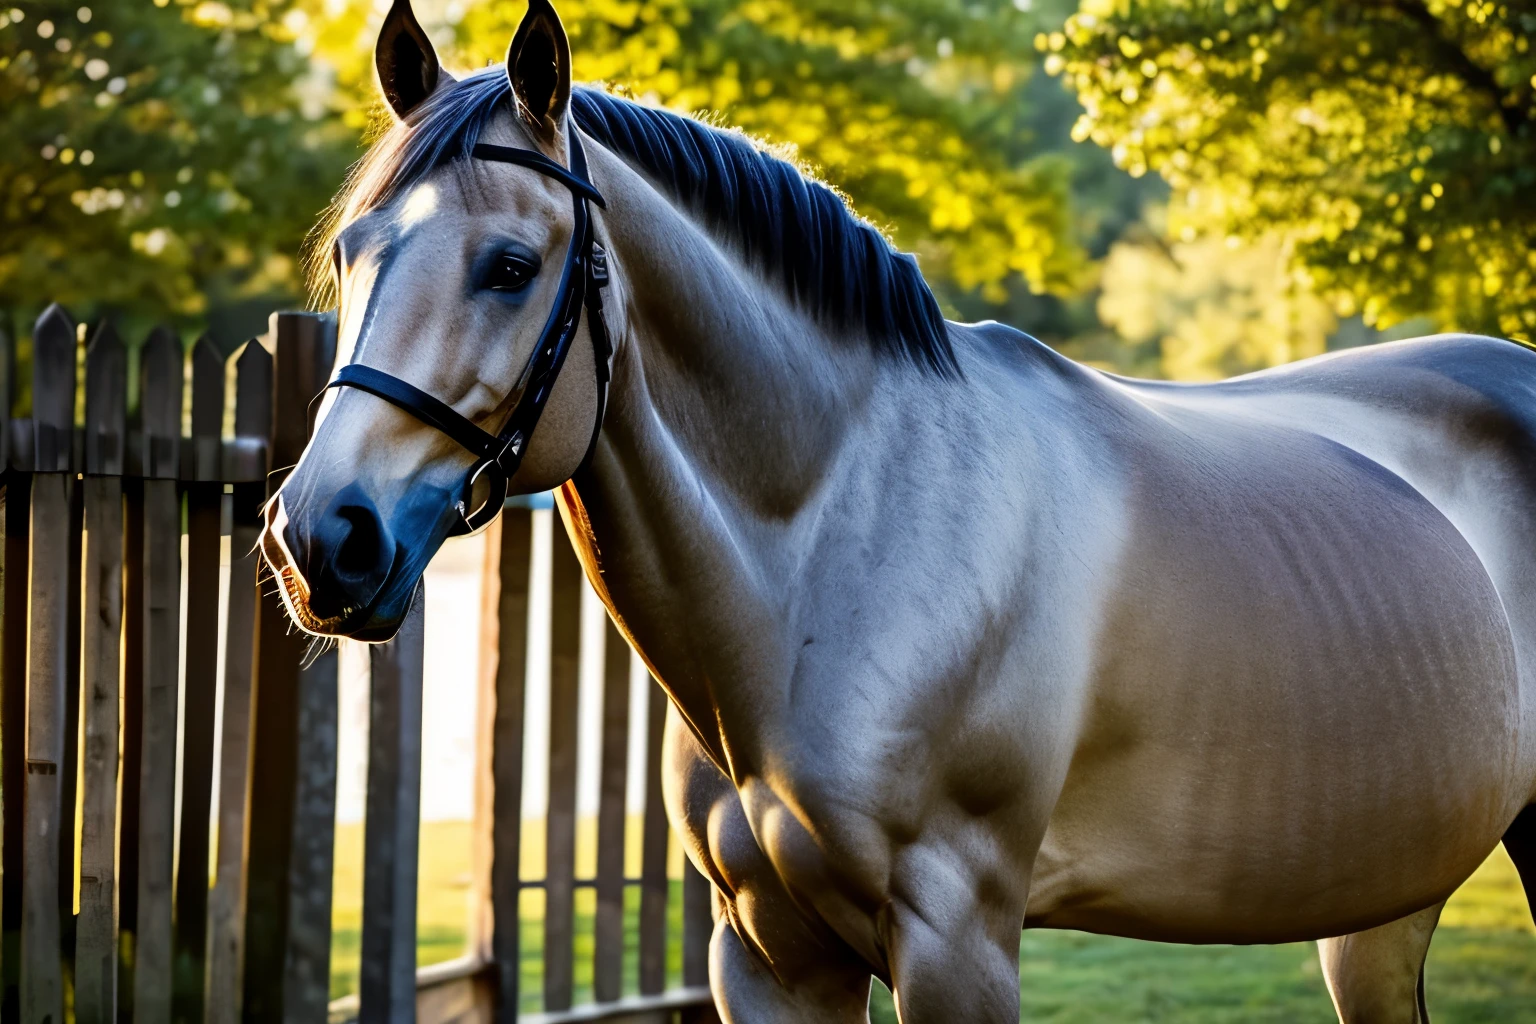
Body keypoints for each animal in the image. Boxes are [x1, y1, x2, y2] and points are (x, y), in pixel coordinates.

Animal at [264, 4, 1536, 1019]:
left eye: (511, 265)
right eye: (353, 249)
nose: (320, 538)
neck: (836, 541)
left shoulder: (957, 940)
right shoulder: (766, 955)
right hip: (1380, 901)